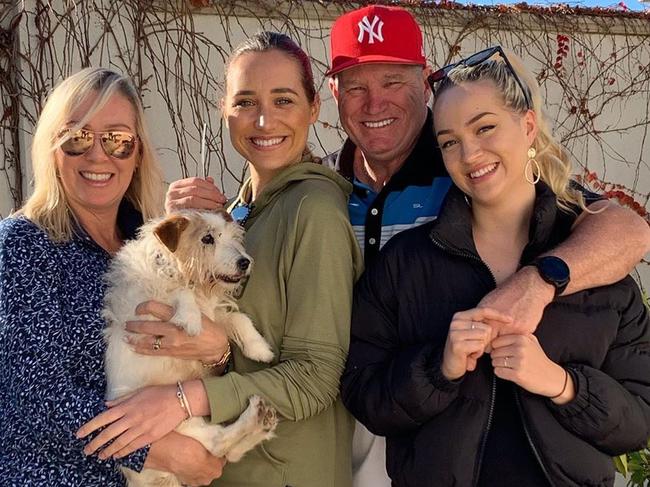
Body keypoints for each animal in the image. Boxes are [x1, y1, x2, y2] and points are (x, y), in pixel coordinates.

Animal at [101, 210, 276, 487]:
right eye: (207, 239)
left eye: (232, 237)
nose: (245, 262)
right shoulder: (143, 314)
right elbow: (181, 295)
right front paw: (190, 319)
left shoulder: (215, 317)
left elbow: (238, 319)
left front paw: (258, 348)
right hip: (181, 428)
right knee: (218, 445)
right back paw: (255, 419)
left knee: (228, 452)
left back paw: (262, 421)